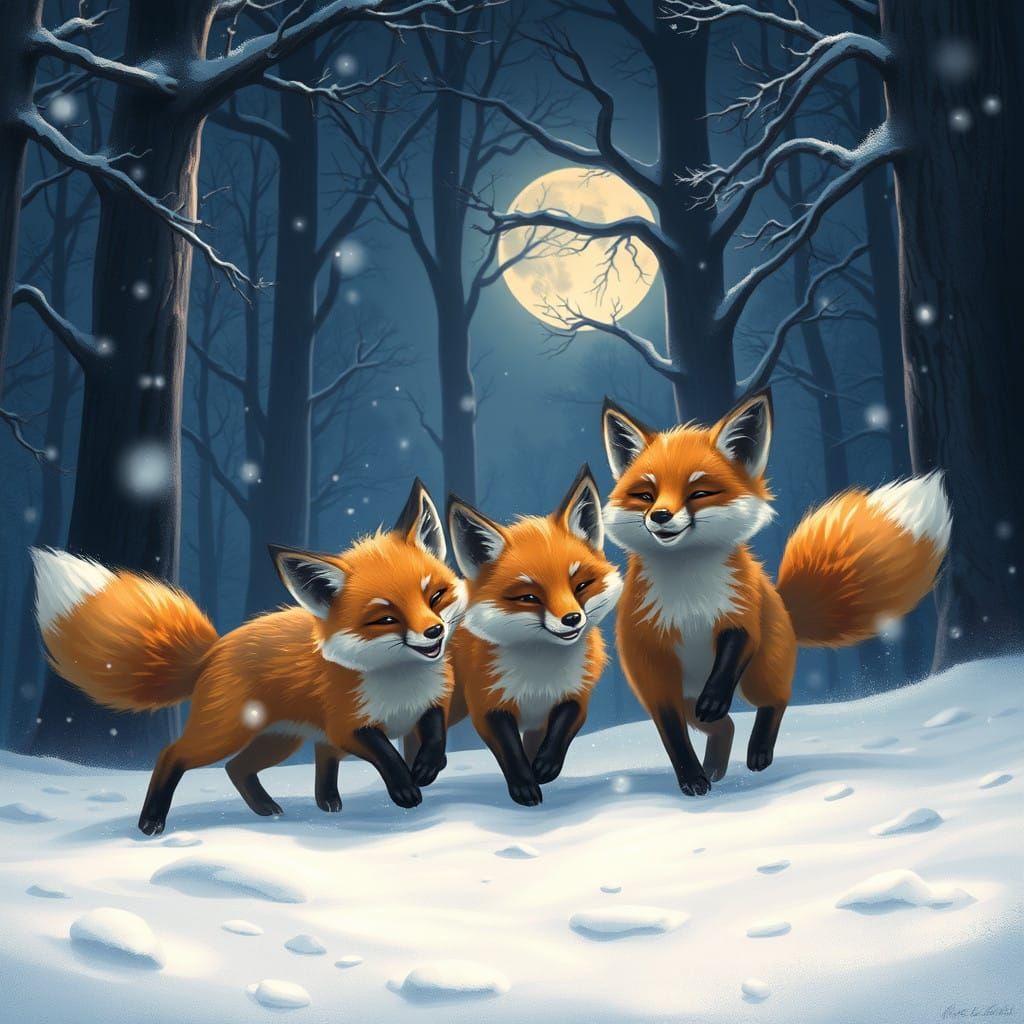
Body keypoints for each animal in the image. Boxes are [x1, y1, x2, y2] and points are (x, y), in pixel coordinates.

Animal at [32, 480, 467, 835]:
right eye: (386, 618)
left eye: (435, 596)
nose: (434, 632)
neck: (401, 684)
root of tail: (215, 649)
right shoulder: (349, 724)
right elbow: (386, 755)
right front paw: (405, 787)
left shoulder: (433, 702)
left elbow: (435, 736)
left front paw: (427, 767)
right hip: (227, 733)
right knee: (175, 754)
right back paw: (151, 821)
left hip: (278, 740)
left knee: (242, 766)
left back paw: (288, 805)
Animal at [441, 465, 623, 806]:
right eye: (529, 598)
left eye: (580, 586)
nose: (572, 619)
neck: (540, 675)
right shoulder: (488, 704)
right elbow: (510, 751)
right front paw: (524, 785)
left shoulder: (576, 695)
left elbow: (560, 730)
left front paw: (545, 767)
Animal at [601, 390, 952, 796]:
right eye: (645, 494)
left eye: (699, 492)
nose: (659, 516)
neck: (688, 596)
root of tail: (784, 605)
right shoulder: (653, 670)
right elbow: (672, 736)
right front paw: (691, 778)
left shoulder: (741, 615)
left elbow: (735, 649)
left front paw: (715, 700)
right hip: (689, 697)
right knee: (725, 726)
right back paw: (714, 768)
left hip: (759, 675)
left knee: (775, 702)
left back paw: (758, 753)